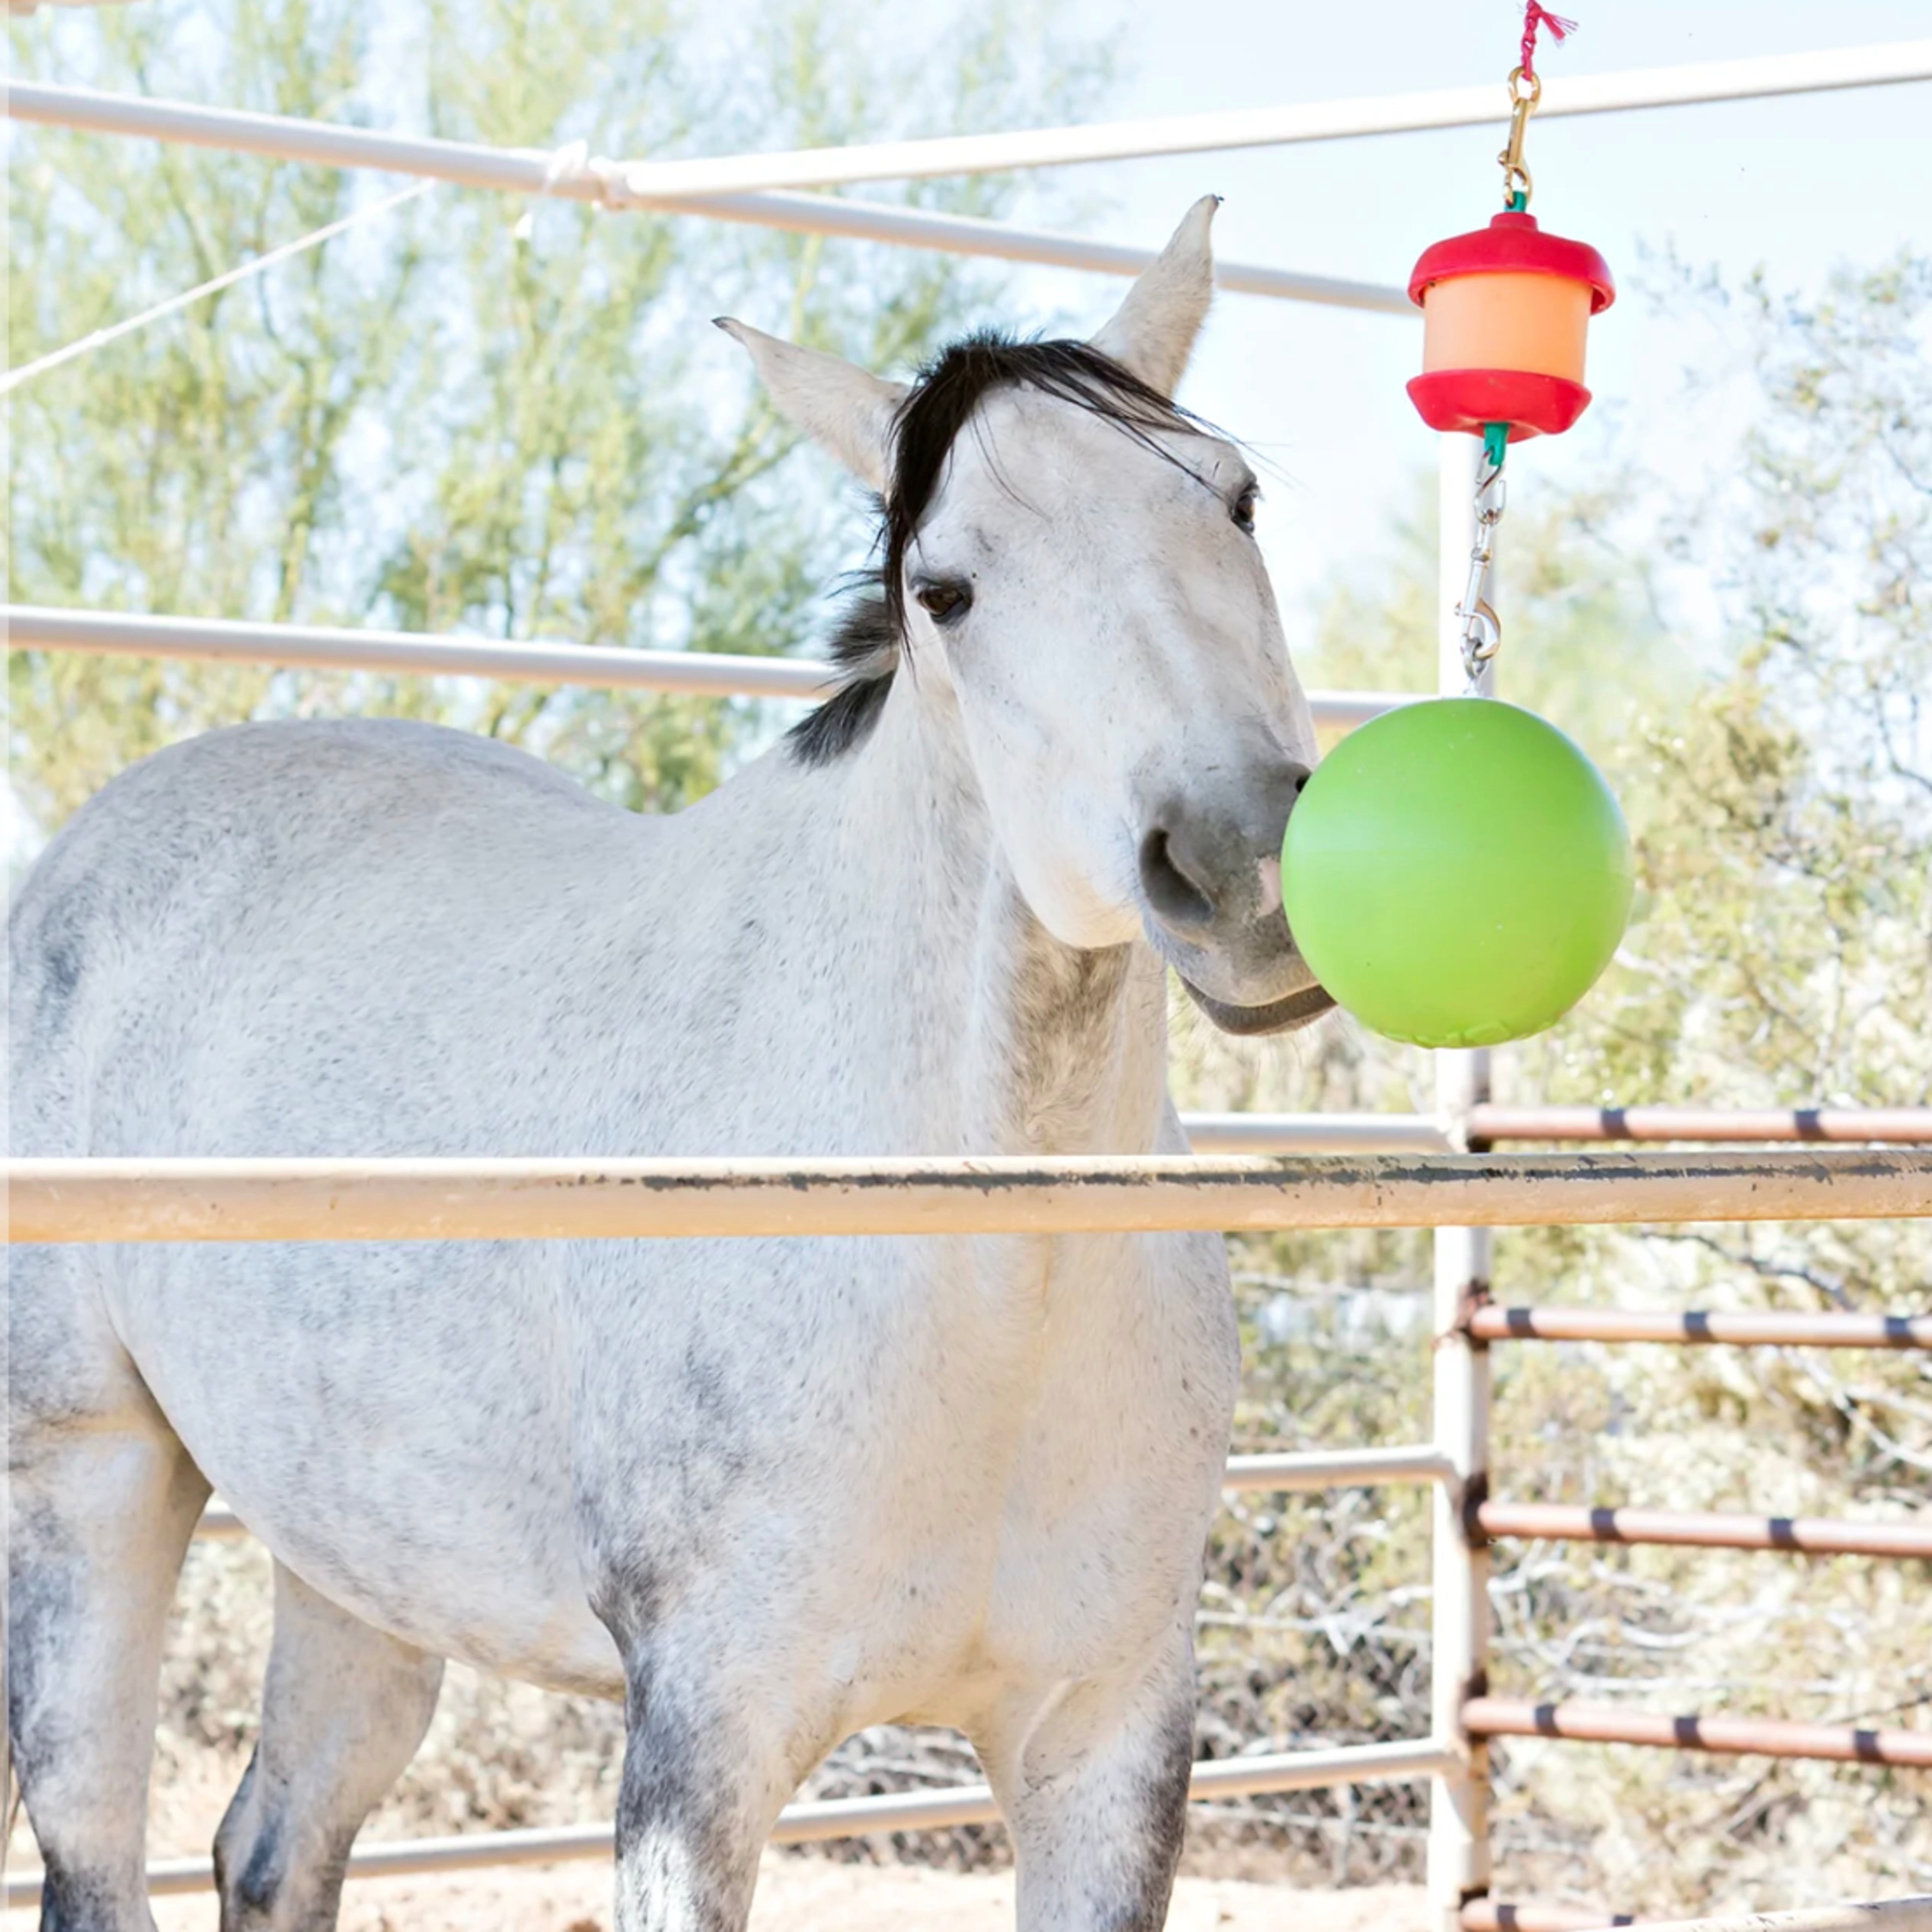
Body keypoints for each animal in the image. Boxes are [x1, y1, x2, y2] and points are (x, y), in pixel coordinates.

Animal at [3, 200, 1329, 1932]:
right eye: (945, 589)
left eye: (1231, 499)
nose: (1243, 864)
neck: (975, 1275)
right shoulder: (702, 1741)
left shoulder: (1108, 1742)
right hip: (86, 1484)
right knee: (97, 1841)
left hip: (353, 1553)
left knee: (275, 1845)